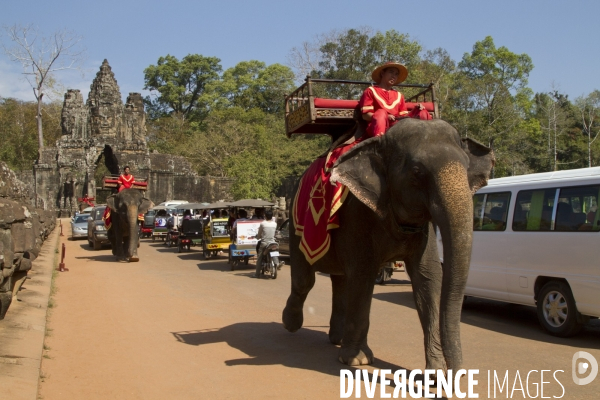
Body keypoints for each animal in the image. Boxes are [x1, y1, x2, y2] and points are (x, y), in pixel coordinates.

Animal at [284, 117, 494, 374]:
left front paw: (436, 373)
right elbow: (363, 276)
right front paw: (357, 360)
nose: (459, 374)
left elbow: (429, 278)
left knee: (339, 280)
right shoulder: (358, 213)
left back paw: (336, 339)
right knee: (305, 280)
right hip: (297, 225)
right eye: (416, 171)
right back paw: (291, 324)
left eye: (466, 168)